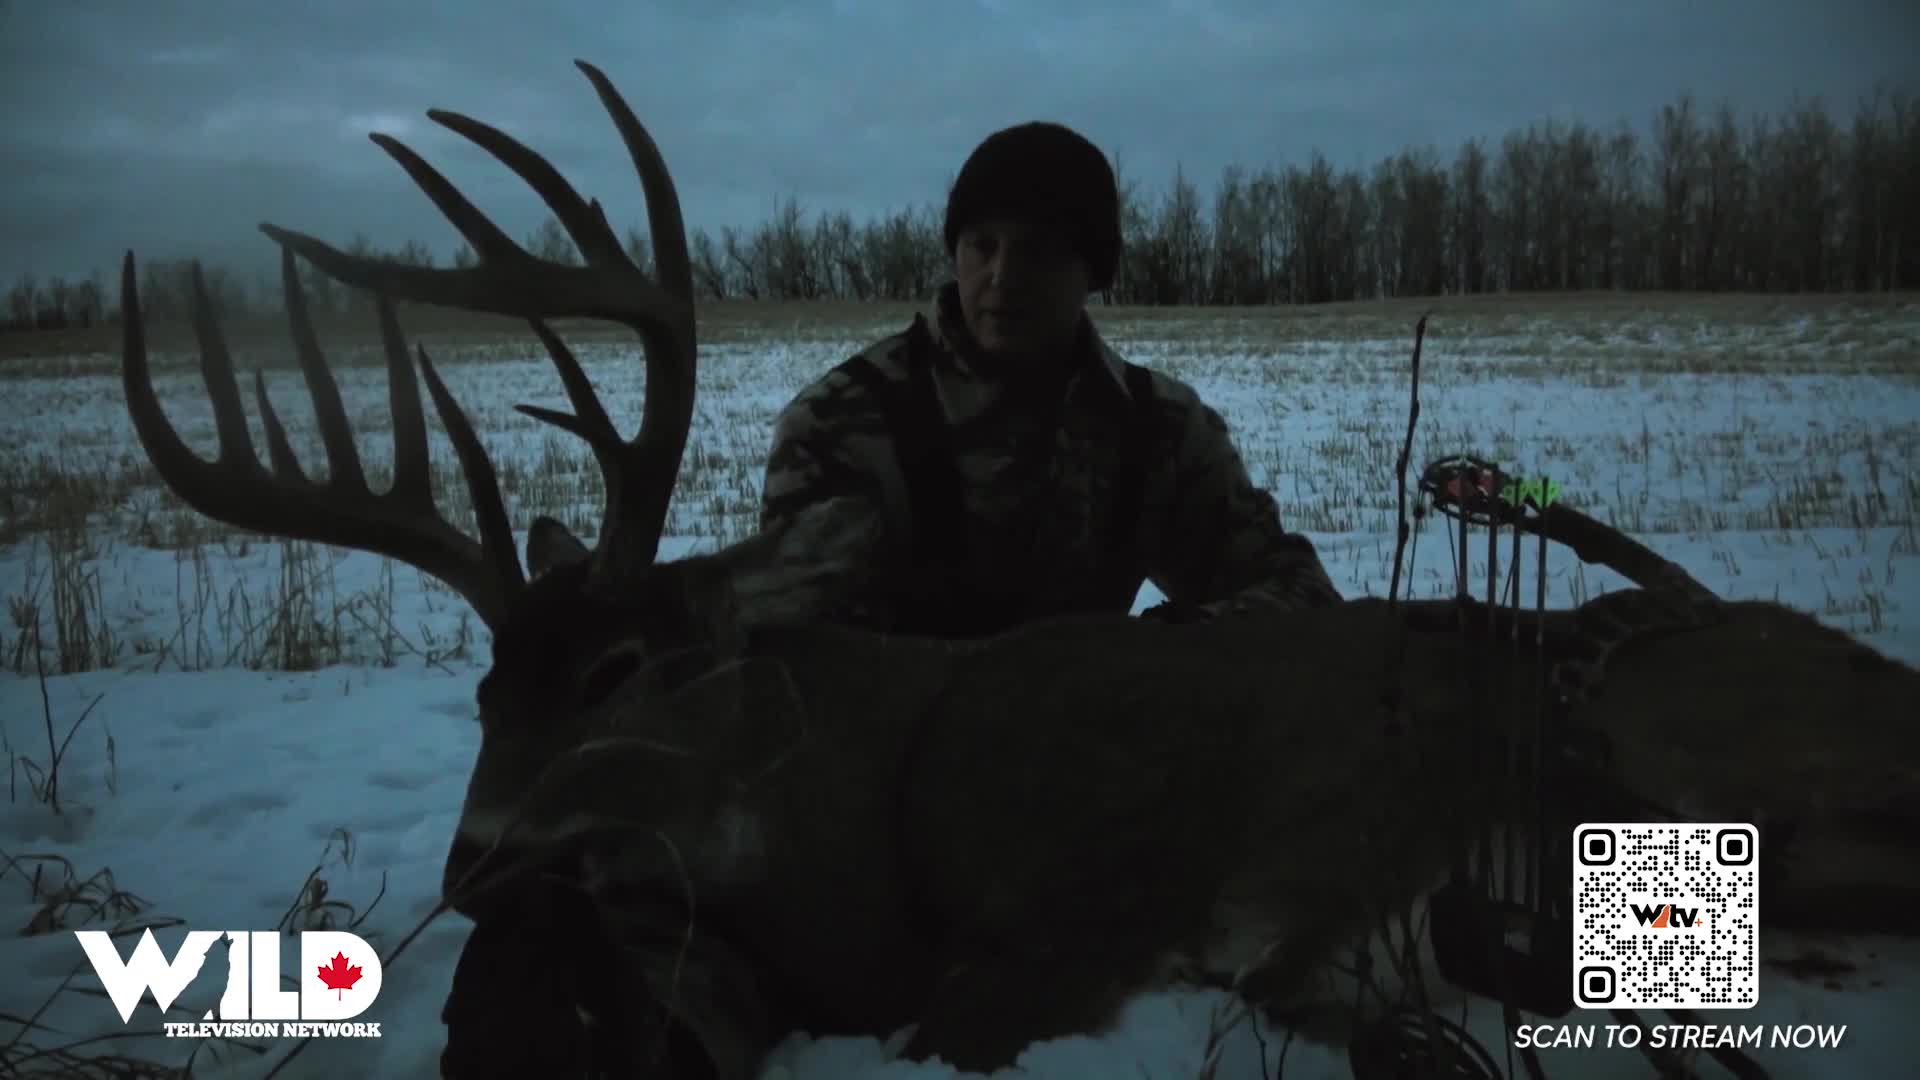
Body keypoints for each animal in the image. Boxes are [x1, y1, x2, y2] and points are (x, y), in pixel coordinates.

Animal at [117, 60, 1920, 1078]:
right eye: (488, 689)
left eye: (629, 670)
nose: (478, 866)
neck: (863, 807)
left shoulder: (1073, 905)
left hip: (1682, 734)